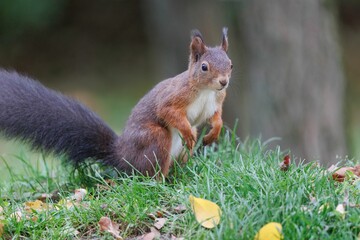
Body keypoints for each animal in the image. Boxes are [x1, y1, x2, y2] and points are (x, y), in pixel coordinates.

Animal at [0, 28, 232, 178]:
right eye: (204, 67)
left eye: (230, 64)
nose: (224, 82)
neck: (206, 91)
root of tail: (122, 155)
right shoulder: (174, 96)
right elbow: (167, 111)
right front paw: (188, 131)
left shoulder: (217, 102)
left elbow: (216, 117)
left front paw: (214, 132)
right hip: (155, 139)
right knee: (150, 173)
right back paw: (162, 181)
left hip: (181, 153)